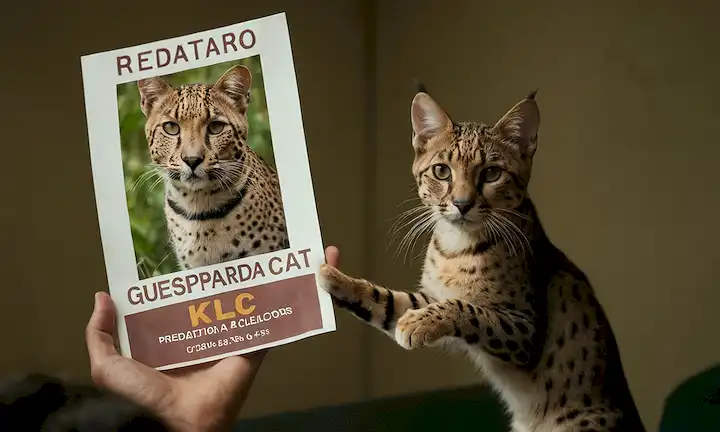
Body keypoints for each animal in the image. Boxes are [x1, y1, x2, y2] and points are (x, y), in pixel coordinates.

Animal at [318, 87, 646, 431]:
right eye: (441, 171)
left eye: (491, 173)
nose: (462, 204)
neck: (456, 245)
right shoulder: (430, 296)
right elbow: (387, 301)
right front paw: (334, 278)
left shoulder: (526, 330)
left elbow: (467, 308)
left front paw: (420, 322)